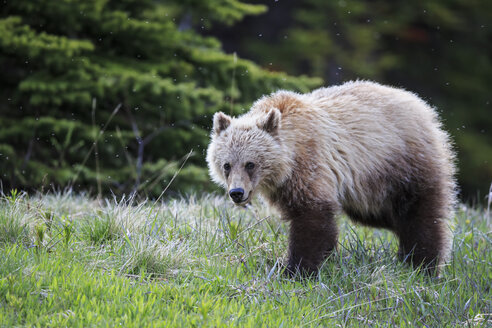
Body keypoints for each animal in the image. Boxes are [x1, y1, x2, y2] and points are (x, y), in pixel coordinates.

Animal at [207, 80, 458, 276]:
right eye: (226, 165)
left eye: (250, 164)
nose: (236, 193)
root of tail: (422, 106)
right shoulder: (286, 186)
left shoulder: (311, 164)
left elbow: (312, 217)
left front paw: (296, 270)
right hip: (369, 190)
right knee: (386, 216)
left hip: (403, 164)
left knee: (419, 214)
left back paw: (424, 264)